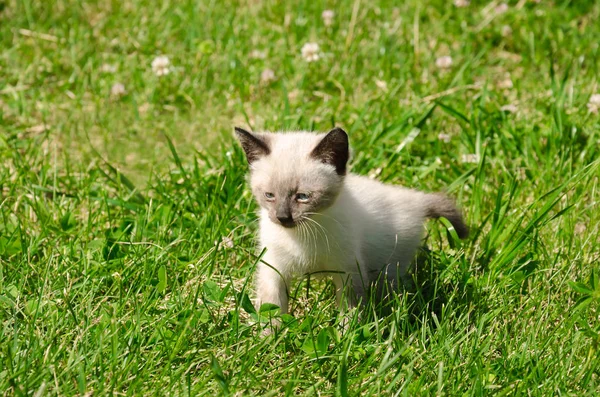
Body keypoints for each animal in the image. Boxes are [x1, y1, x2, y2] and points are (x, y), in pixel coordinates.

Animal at [234, 127, 468, 316]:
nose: (282, 217)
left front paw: (346, 335)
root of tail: (414, 199)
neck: (303, 235)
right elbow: (271, 307)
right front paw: (269, 339)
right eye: (269, 195)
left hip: (388, 267)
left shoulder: (348, 270)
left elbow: (350, 308)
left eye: (303, 197)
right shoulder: (273, 267)